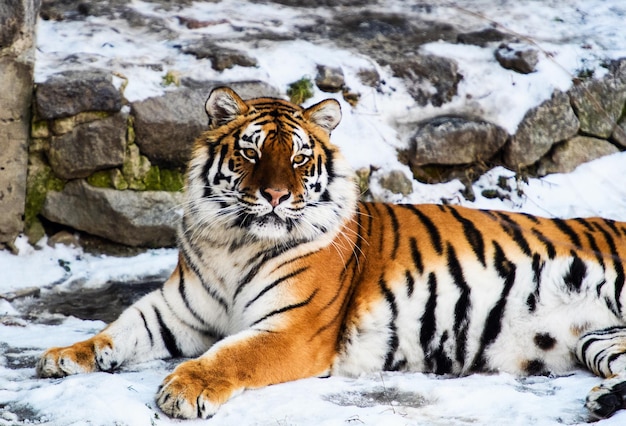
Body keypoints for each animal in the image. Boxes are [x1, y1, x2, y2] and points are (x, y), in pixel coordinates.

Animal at [36, 85, 624, 420]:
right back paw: (602, 401)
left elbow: (231, 354)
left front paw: (183, 388)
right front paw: (63, 355)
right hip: (598, 338)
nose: (275, 195)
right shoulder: (176, 311)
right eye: (252, 152)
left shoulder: (293, 328)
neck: (233, 240)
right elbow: (117, 330)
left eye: (298, 157)